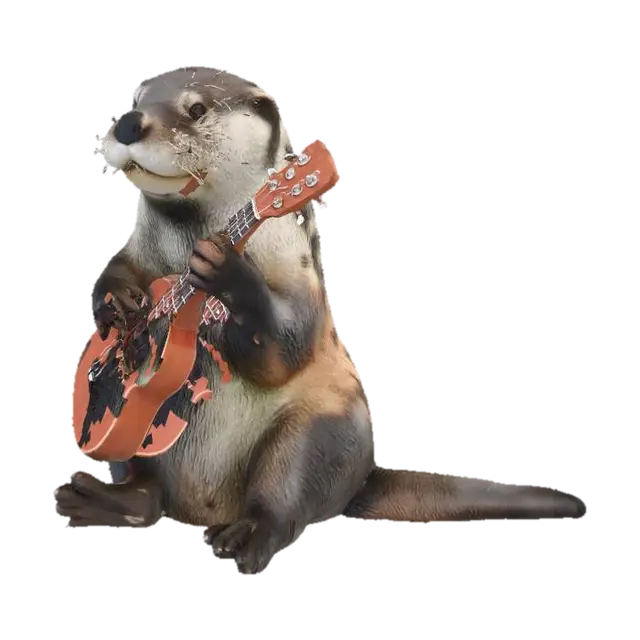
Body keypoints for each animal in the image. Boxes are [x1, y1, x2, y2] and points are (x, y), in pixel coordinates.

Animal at [56, 65, 588, 575]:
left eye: (197, 109)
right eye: (135, 99)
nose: (128, 123)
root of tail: (206, 508)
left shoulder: (296, 270)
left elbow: (286, 346)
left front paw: (228, 272)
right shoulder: (138, 248)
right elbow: (119, 269)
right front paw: (116, 309)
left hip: (328, 431)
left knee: (286, 494)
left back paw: (245, 537)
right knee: (147, 492)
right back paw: (101, 499)